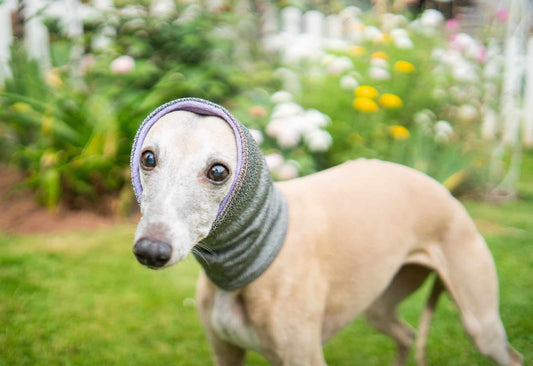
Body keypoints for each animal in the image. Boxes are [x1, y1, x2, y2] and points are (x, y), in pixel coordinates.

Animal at [131, 98, 520, 366]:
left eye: (217, 171)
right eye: (147, 158)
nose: (151, 251)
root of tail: (446, 192)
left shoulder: (303, 356)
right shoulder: (225, 353)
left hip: (480, 320)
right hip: (380, 304)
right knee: (406, 334)